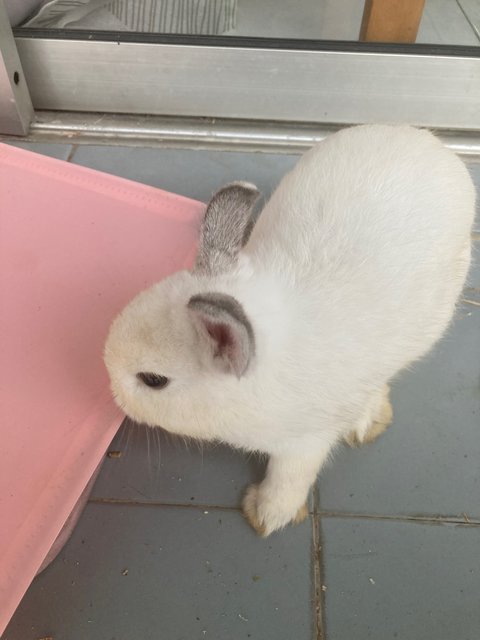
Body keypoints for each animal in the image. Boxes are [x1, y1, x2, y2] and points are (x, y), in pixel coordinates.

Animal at [103, 124, 474, 536]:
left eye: (153, 380)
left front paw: (267, 517)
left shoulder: (305, 443)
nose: (111, 391)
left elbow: (290, 476)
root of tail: (425, 139)